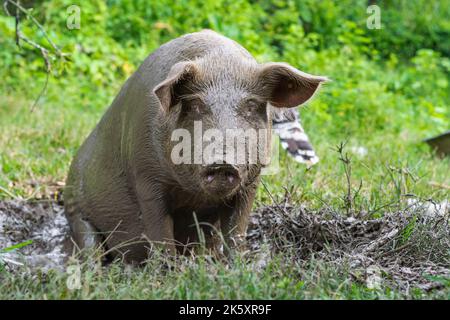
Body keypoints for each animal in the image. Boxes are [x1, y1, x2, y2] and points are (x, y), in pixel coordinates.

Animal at [63, 29, 326, 262]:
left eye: (251, 105)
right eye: (197, 104)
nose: (222, 162)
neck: (194, 197)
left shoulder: (251, 181)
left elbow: (236, 231)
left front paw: (237, 266)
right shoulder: (145, 175)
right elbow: (160, 233)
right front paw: (167, 273)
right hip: (76, 208)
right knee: (89, 248)